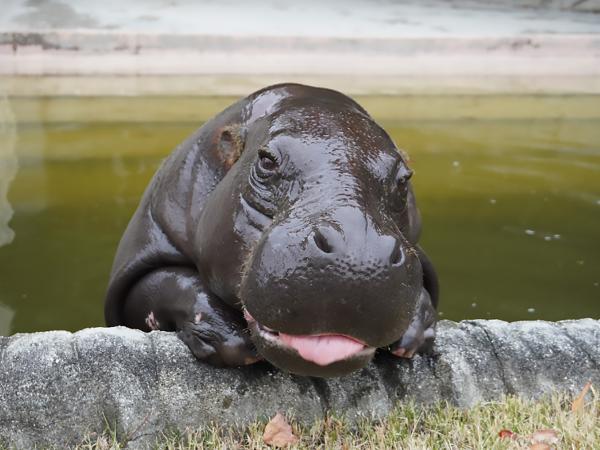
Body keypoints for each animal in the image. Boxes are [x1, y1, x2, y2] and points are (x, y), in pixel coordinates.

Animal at [105, 83, 438, 376]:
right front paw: (226, 333)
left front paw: (415, 331)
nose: (359, 256)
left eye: (404, 179)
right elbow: (167, 281)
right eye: (266, 160)